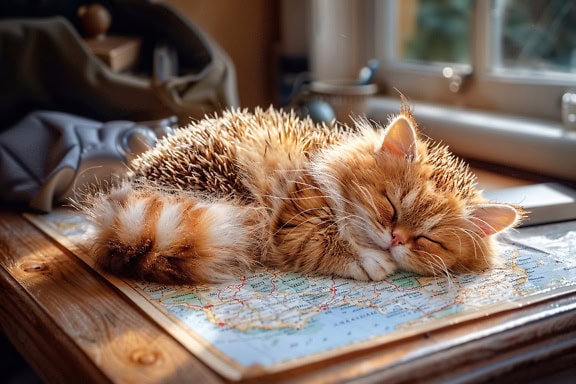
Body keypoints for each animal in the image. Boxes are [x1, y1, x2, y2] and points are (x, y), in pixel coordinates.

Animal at [80, 105, 520, 284]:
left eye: (429, 239)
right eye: (391, 206)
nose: (396, 240)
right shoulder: (292, 219)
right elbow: (326, 240)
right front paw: (370, 260)